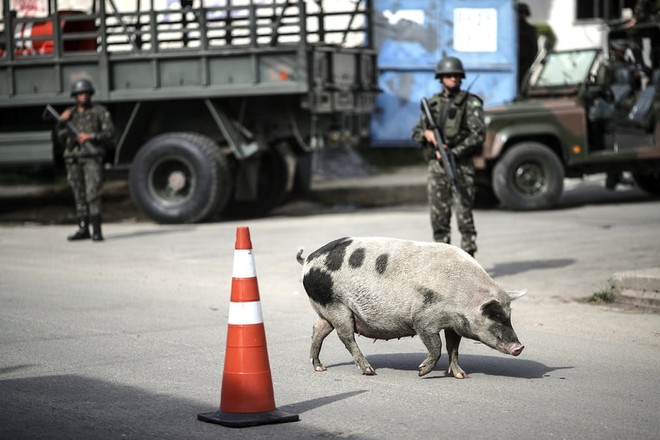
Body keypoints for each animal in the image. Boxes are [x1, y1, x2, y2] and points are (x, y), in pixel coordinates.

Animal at [298, 237, 524, 378]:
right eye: (494, 315)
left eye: (509, 316)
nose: (520, 347)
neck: (461, 295)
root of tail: (308, 260)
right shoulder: (423, 318)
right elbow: (436, 346)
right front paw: (421, 371)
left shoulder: (453, 324)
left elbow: (453, 348)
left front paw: (462, 375)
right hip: (337, 306)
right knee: (345, 336)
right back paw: (369, 370)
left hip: (327, 309)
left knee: (318, 329)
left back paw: (320, 368)